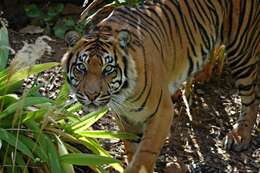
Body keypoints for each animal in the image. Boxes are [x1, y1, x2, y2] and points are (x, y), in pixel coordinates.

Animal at [61, 0, 260, 172]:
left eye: (108, 69)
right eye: (81, 68)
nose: (91, 95)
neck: (122, 95)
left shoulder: (162, 112)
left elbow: (145, 154)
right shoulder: (125, 116)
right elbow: (132, 147)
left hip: (241, 50)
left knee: (251, 99)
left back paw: (239, 136)